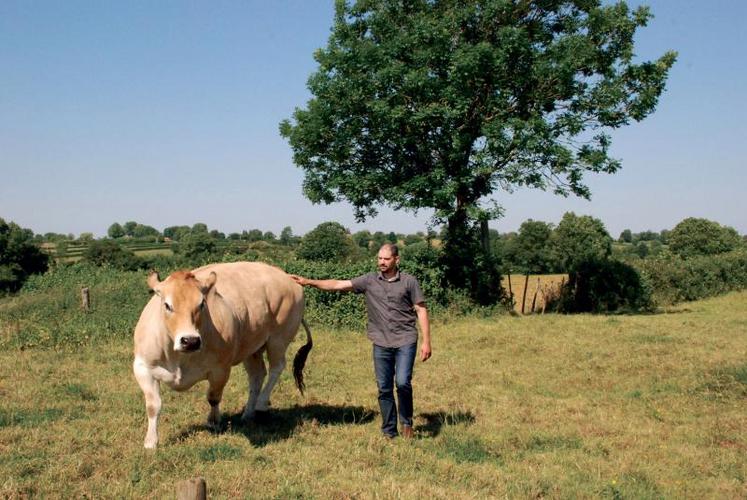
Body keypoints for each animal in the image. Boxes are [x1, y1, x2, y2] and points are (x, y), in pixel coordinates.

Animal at [133, 262, 312, 450]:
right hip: (251, 346)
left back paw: (261, 403)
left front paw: (214, 422)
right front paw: (151, 441)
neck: (178, 358)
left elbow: (213, 397)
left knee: (277, 367)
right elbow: (153, 406)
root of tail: (286, 276)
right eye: (167, 305)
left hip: (279, 338)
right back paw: (248, 413)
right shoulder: (142, 368)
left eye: (202, 304)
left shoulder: (221, 369)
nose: (190, 341)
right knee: (257, 375)